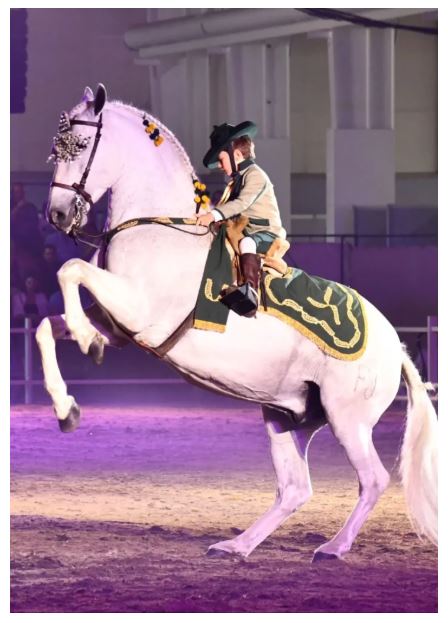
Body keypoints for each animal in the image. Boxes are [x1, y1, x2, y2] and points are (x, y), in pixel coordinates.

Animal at [37, 83, 438, 560]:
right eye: (56, 148)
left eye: (79, 145)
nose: (58, 215)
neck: (158, 228)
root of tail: (394, 347)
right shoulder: (118, 326)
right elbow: (48, 324)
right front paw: (67, 406)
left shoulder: (138, 309)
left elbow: (70, 270)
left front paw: (83, 341)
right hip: (287, 417)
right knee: (294, 489)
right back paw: (236, 545)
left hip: (348, 420)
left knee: (372, 480)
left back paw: (332, 547)